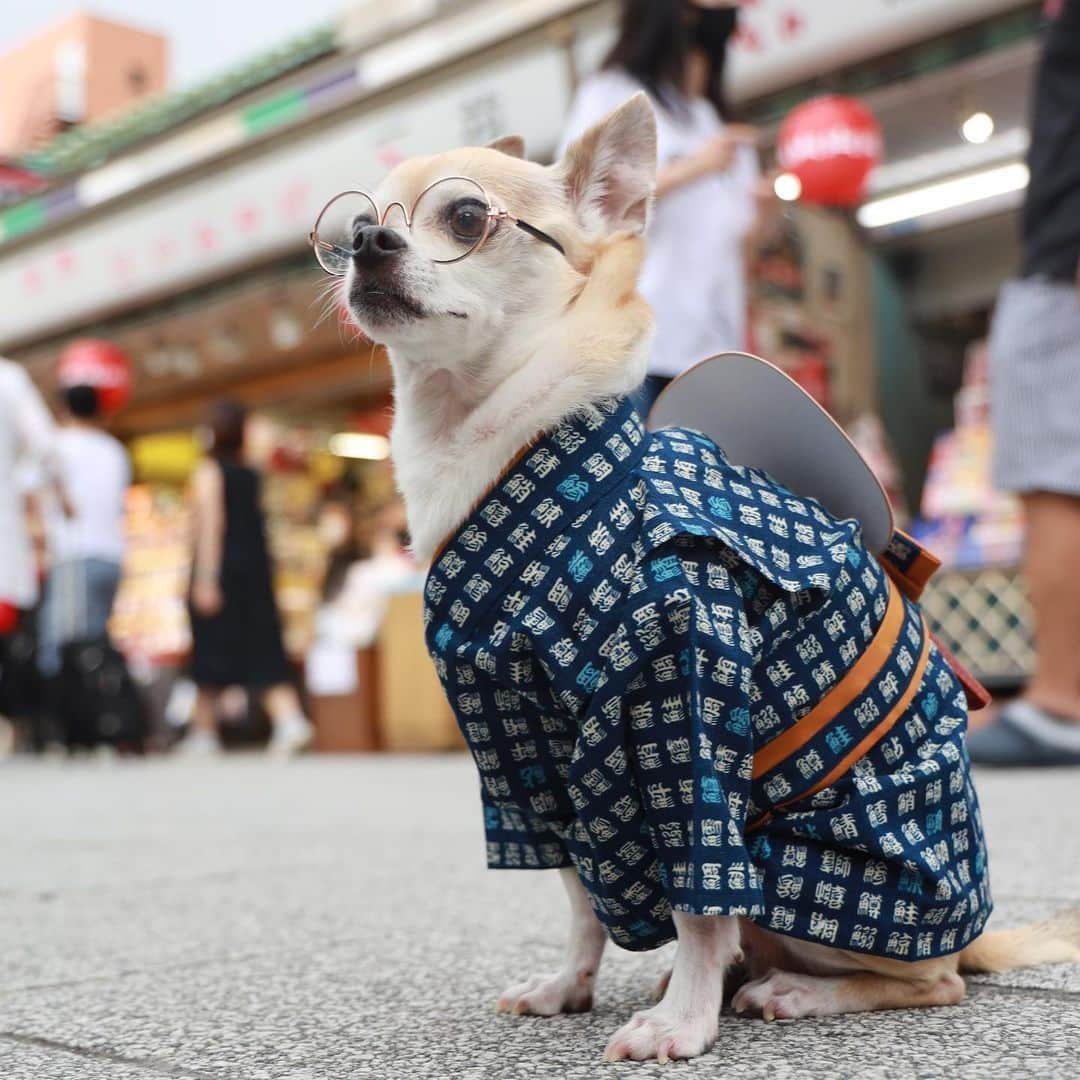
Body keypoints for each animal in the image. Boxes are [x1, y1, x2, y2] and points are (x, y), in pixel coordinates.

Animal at [332, 95, 1075, 1062]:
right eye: (353, 224)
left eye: (463, 217)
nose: (366, 244)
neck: (478, 443)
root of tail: (974, 930)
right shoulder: (523, 756)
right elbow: (578, 896)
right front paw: (570, 985)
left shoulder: (681, 716)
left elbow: (697, 900)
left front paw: (681, 1022)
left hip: (819, 874)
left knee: (928, 980)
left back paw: (793, 990)